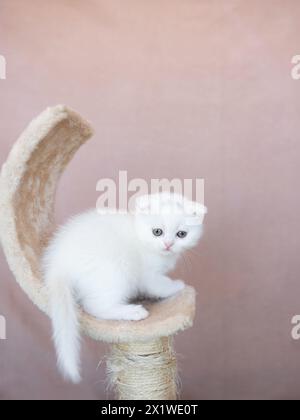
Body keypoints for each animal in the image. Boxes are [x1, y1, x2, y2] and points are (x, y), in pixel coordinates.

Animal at [42, 194, 206, 384]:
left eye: (182, 234)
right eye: (157, 232)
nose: (168, 244)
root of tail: (59, 263)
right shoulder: (148, 275)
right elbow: (159, 286)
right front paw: (177, 286)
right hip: (115, 273)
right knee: (96, 307)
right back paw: (133, 312)